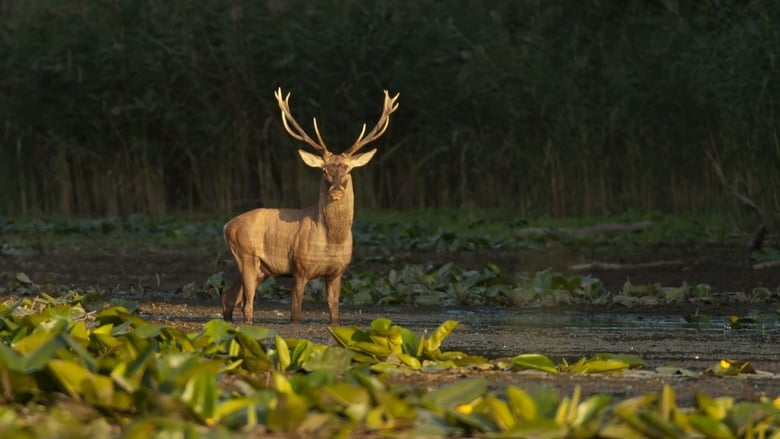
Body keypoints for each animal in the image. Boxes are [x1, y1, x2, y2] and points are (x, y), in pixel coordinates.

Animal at [221, 87, 400, 324]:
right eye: (324, 170)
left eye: (349, 170)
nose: (336, 190)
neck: (331, 242)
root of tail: (227, 225)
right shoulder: (300, 268)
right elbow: (295, 314)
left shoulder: (338, 272)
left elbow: (335, 315)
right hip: (247, 255)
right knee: (246, 305)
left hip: (262, 269)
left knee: (228, 295)